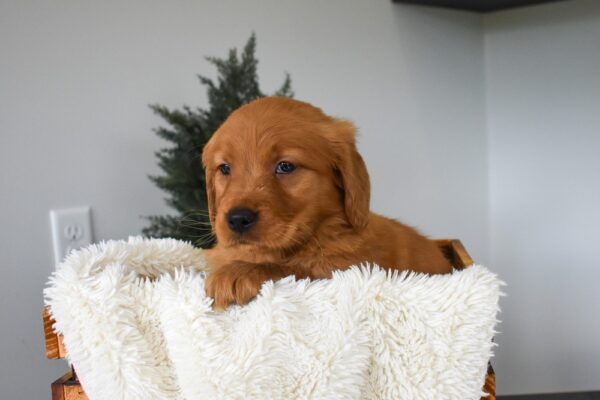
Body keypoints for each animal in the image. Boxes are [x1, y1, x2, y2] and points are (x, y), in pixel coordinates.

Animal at [202, 96, 450, 310]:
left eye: (285, 166)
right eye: (225, 168)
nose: (237, 219)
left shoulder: (351, 269)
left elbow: (295, 268)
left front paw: (238, 272)